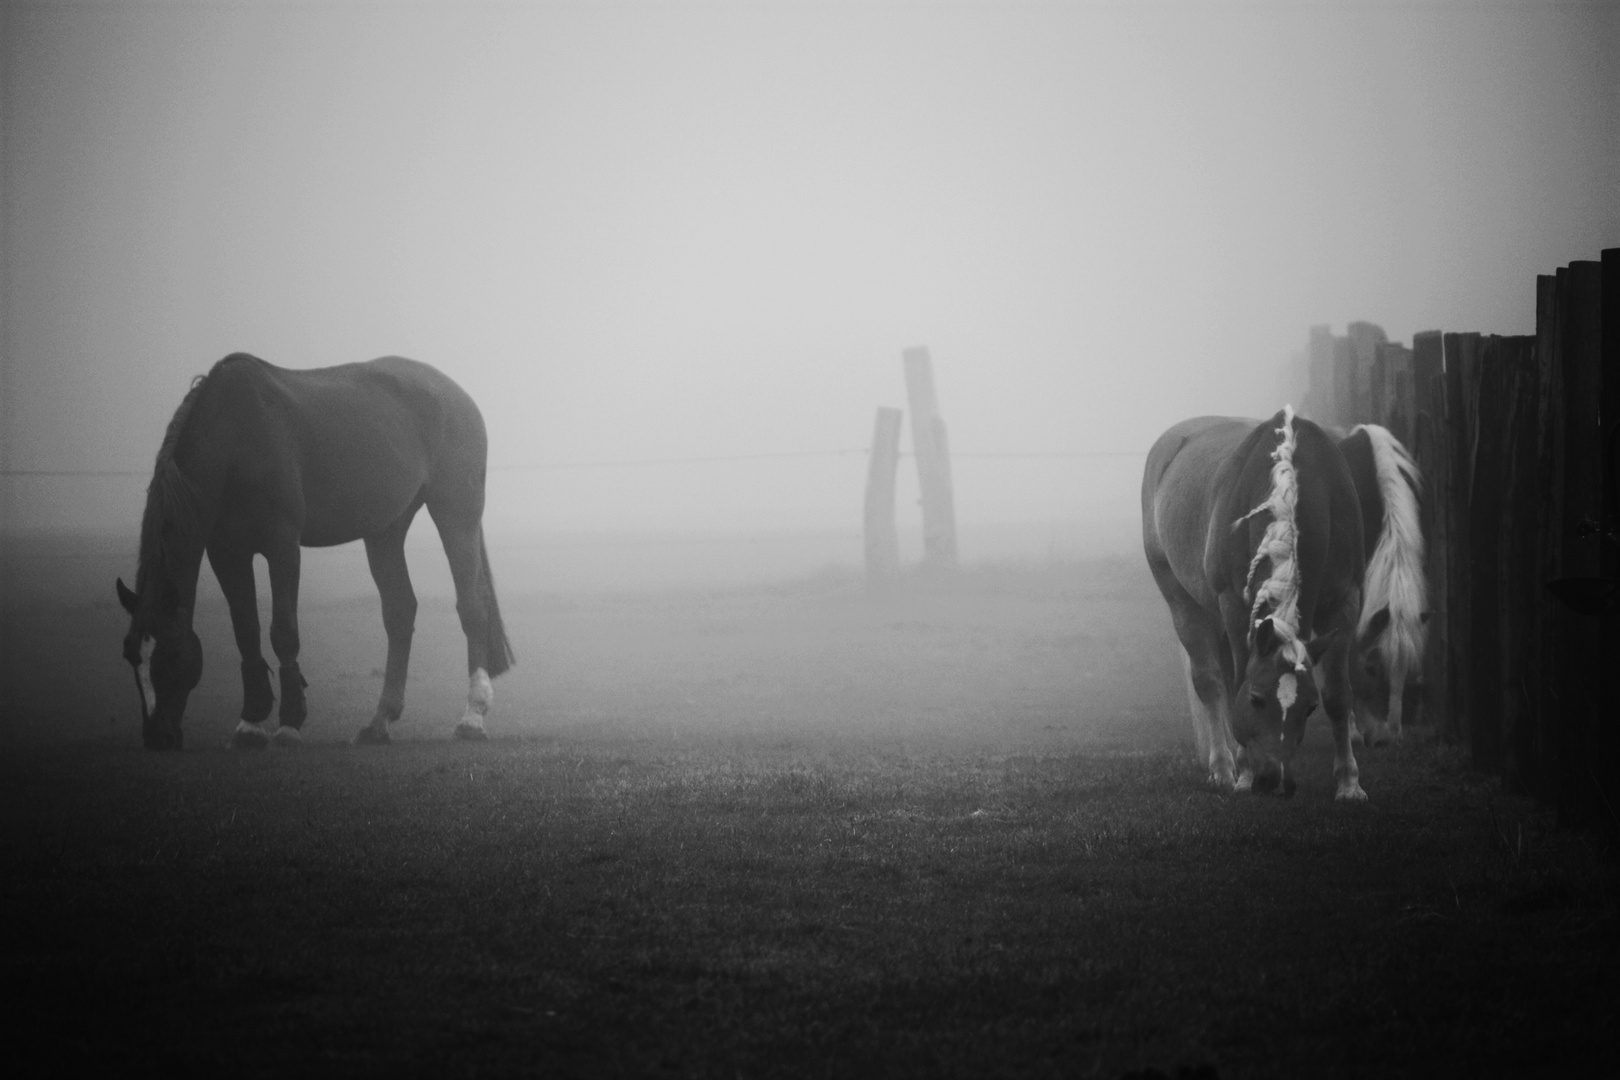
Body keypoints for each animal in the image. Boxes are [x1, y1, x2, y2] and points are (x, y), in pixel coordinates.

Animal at [116, 354, 511, 751]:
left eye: (171, 653)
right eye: (130, 654)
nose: (156, 737)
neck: (237, 439)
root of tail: (457, 396)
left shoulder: (283, 547)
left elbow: (283, 631)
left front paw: (290, 724)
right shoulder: (227, 553)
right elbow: (246, 631)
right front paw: (250, 724)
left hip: (455, 513)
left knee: (472, 606)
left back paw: (472, 717)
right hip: (385, 531)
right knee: (400, 612)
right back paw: (379, 722)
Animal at [1140, 409, 1367, 799]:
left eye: (1310, 707)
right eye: (1257, 699)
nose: (1275, 779)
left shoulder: (1345, 602)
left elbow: (1339, 695)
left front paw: (1349, 783)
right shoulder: (1234, 605)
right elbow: (1234, 685)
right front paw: (1244, 776)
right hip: (1181, 599)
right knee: (1210, 681)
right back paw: (1222, 767)